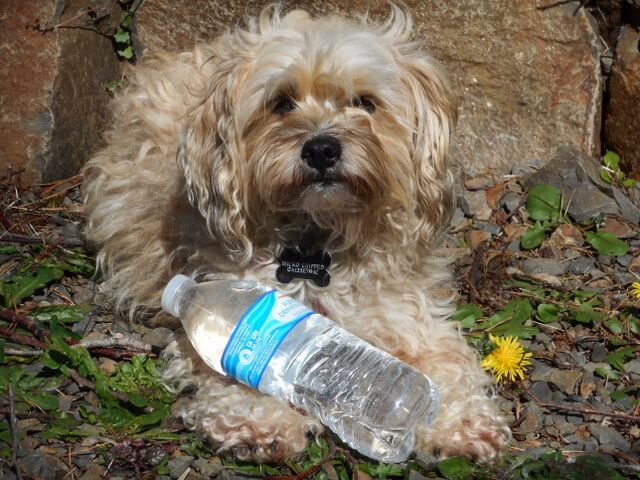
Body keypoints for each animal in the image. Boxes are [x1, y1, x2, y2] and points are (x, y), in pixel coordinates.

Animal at [81, 4, 510, 464]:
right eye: (281, 103)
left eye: (364, 102)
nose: (321, 148)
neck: (319, 242)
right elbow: (237, 365)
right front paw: (259, 421)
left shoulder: (412, 315)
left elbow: (449, 363)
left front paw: (458, 421)